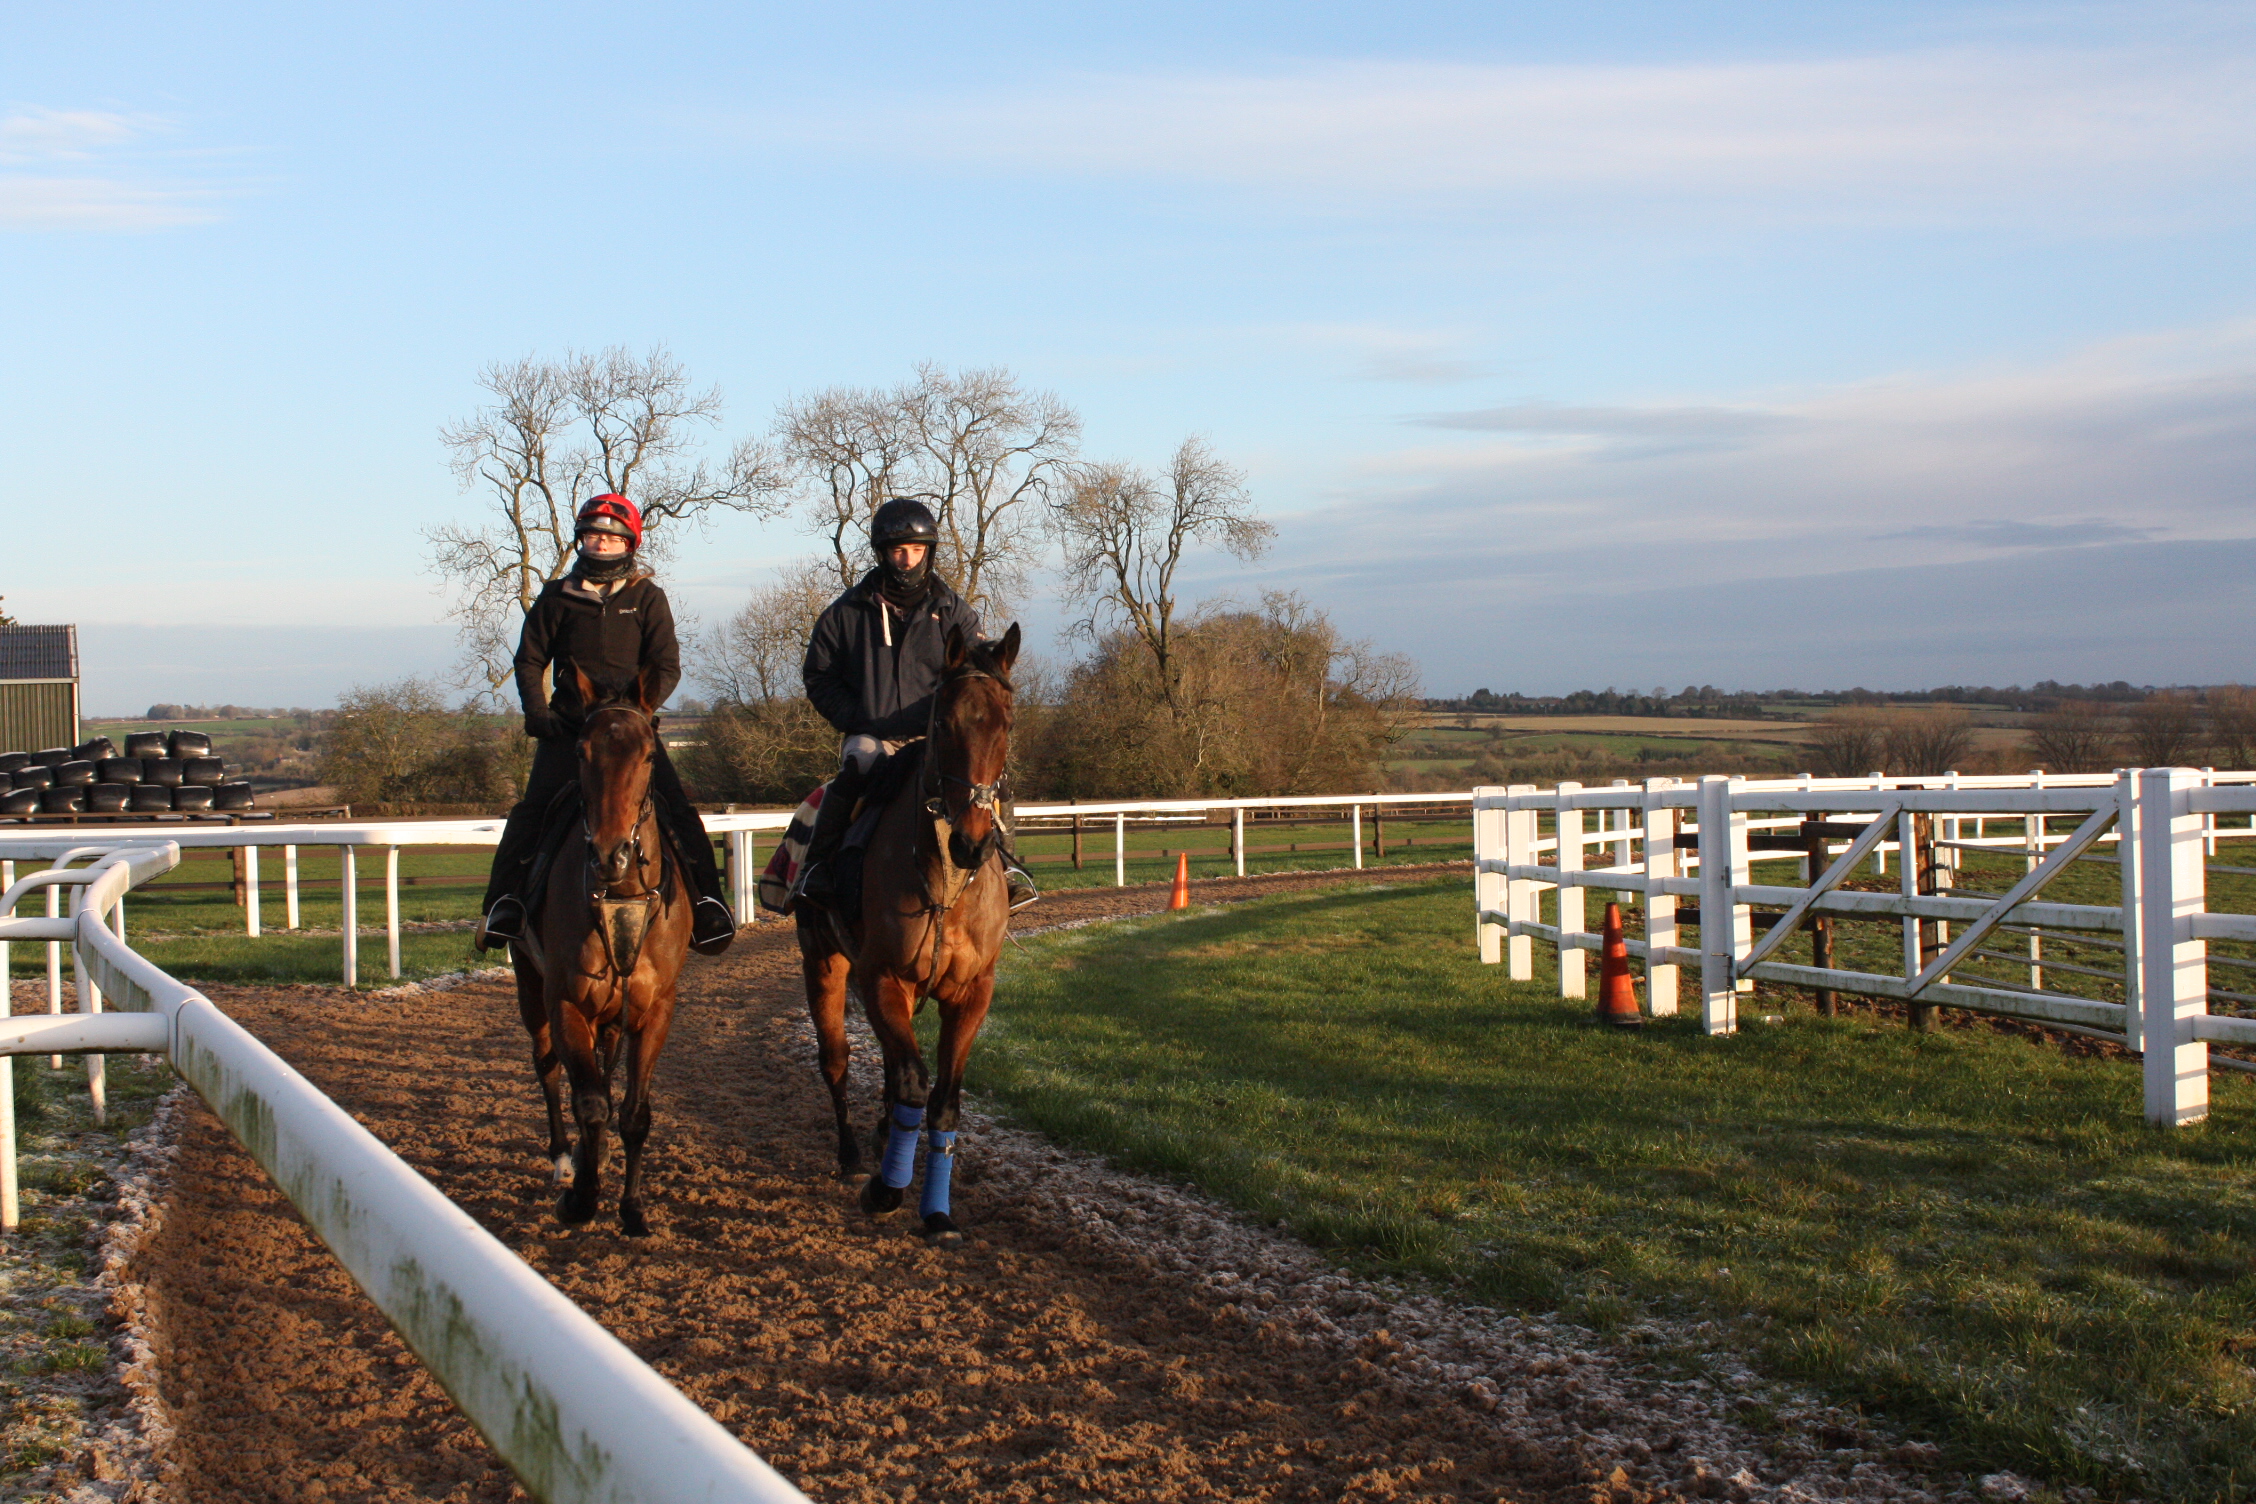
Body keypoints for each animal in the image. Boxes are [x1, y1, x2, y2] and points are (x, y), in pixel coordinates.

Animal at [512, 667, 685, 1235]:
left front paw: (632, 1207)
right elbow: (588, 1102)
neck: (621, 894)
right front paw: (582, 1198)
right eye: (581, 751)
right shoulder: (566, 1001)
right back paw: (566, 1159)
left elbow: (633, 1112)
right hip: (532, 990)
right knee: (548, 1066)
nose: (611, 854)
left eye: (649, 754)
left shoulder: (655, 1009)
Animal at [803, 622, 1024, 1244]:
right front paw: (886, 1189)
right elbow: (909, 1081)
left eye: (1007, 724)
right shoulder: (881, 977)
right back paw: (854, 1155)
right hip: (822, 965)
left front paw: (937, 1212)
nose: (972, 842)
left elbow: (943, 1100)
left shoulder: (973, 992)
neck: (945, 888)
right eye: (943, 723)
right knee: (837, 1059)